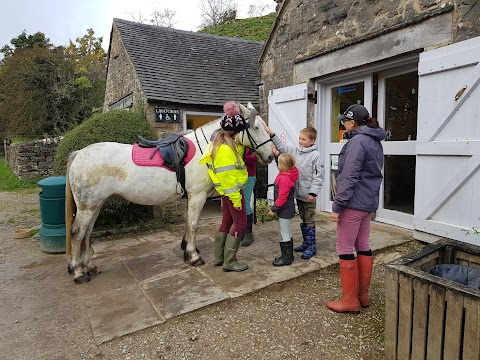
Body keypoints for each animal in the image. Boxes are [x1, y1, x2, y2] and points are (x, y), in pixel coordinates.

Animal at [66, 102, 274, 284]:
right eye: (256, 127)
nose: (271, 155)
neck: (205, 149)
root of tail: (79, 154)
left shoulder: (189, 197)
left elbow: (188, 223)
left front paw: (187, 250)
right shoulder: (197, 196)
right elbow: (193, 224)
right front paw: (194, 256)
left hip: (95, 205)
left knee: (87, 234)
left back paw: (88, 267)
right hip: (88, 206)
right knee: (77, 234)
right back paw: (78, 272)